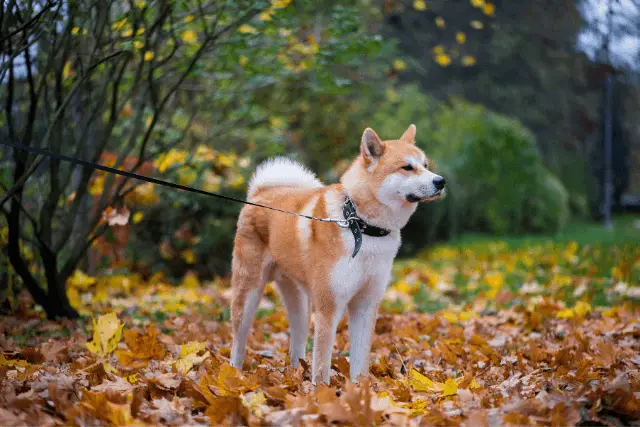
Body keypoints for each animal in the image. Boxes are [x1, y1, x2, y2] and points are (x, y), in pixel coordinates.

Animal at [230, 124, 444, 384]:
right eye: (407, 167)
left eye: (425, 164)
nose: (440, 181)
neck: (360, 224)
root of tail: (260, 194)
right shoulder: (328, 309)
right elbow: (322, 365)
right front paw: (323, 392)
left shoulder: (365, 305)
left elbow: (360, 363)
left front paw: (360, 389)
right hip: (248, 295)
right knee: (238, 341)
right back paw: (234, 373)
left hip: (301, 306)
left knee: (297, 346)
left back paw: (296, 377)